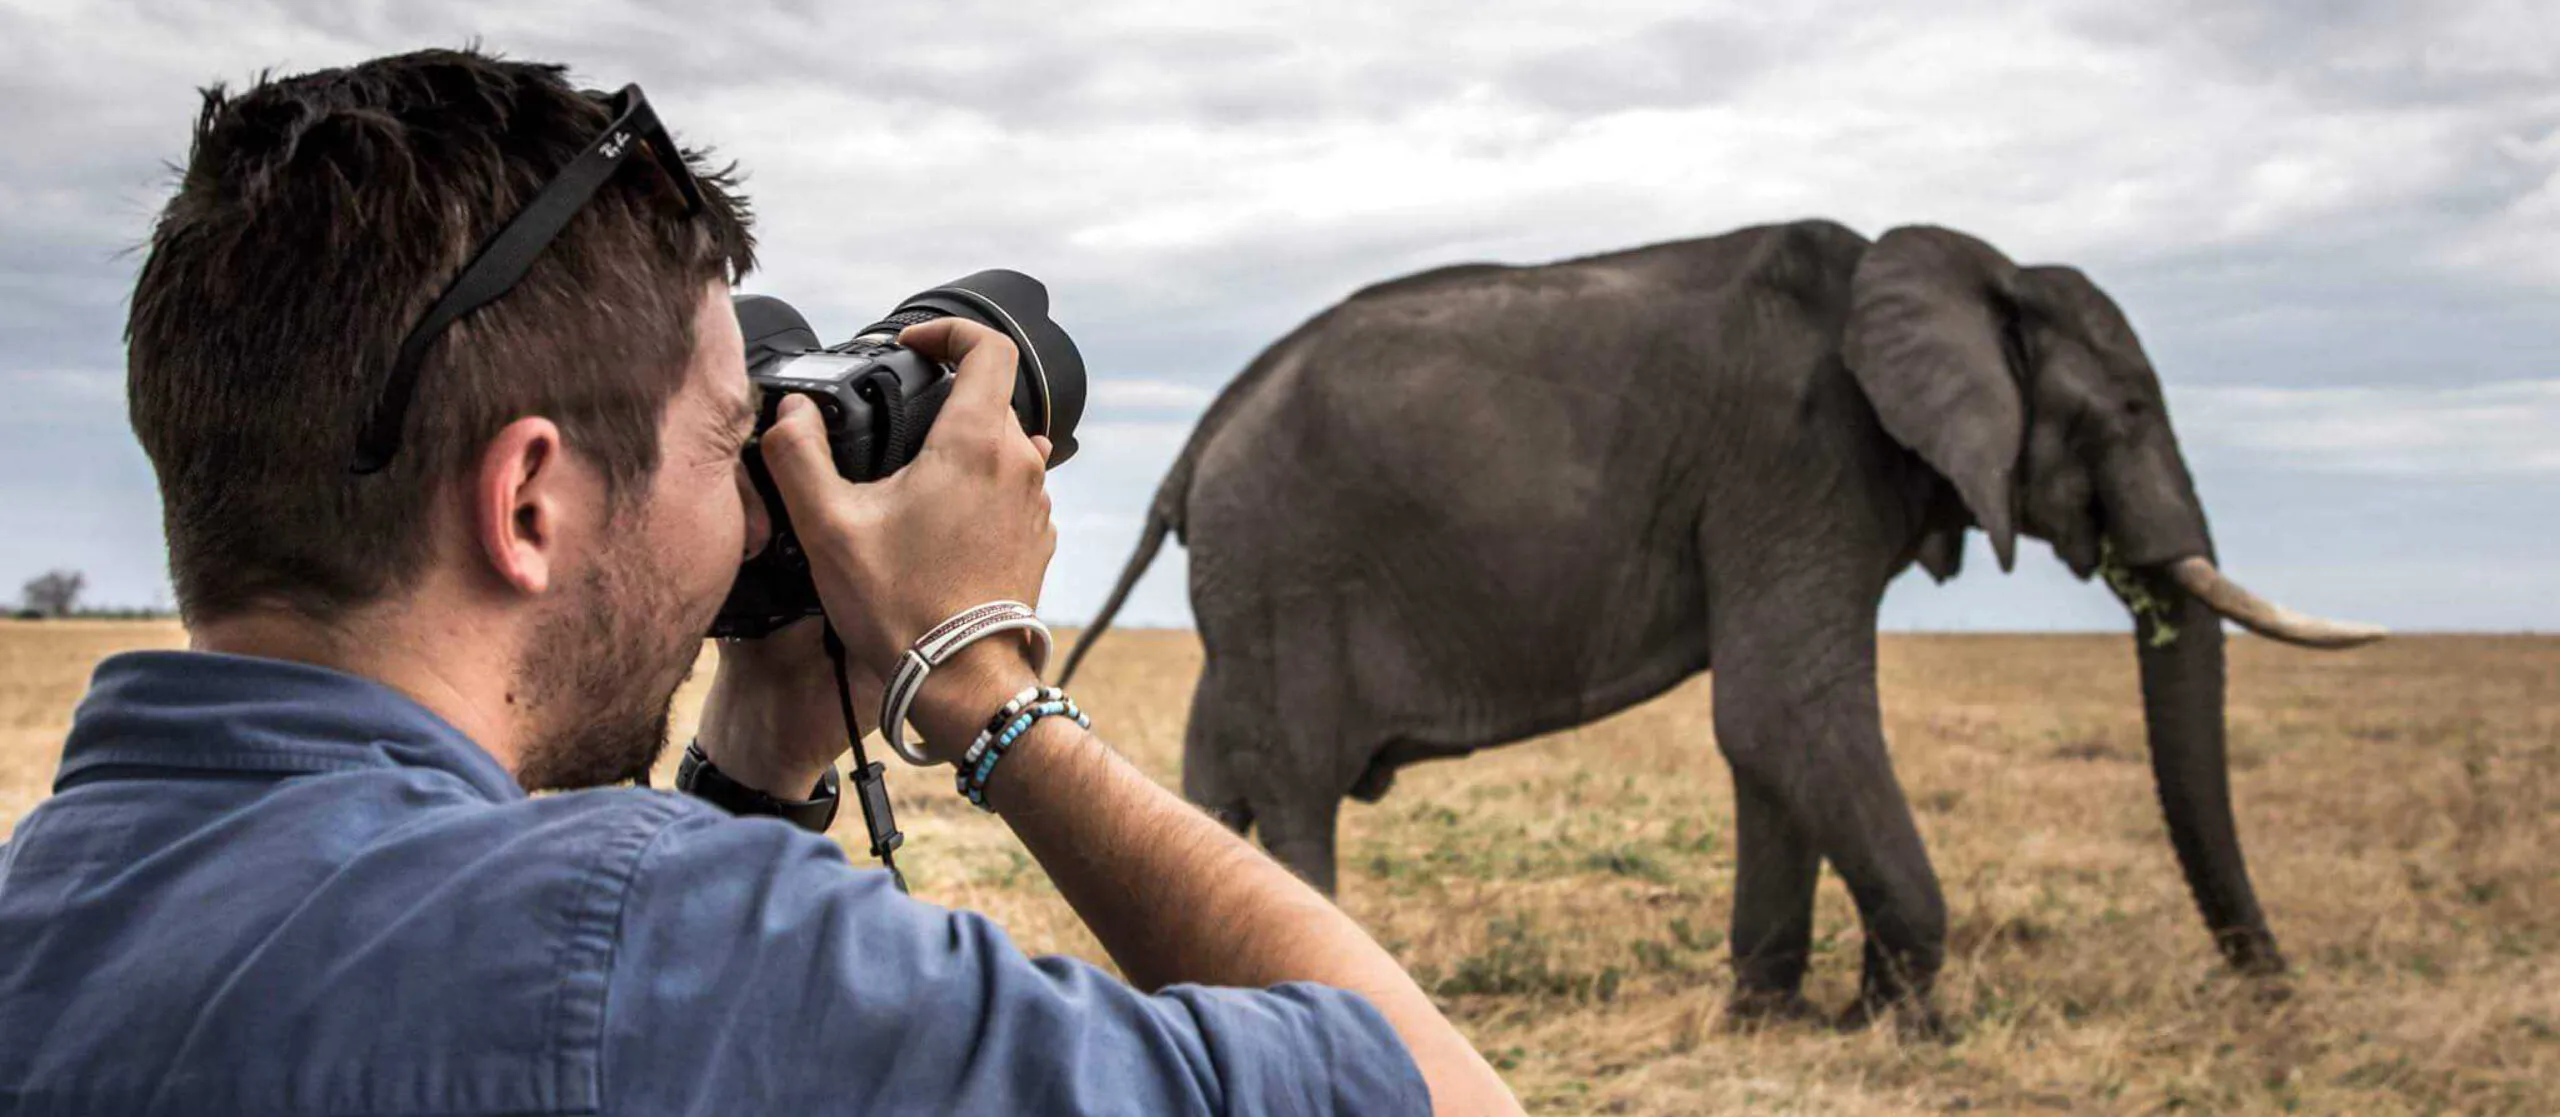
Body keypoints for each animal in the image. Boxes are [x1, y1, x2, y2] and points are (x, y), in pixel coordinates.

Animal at [1054, 222, 2375, 1035]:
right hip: (1293, 567)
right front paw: (1908, 1029)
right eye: (2131, 409)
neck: (1958, 265)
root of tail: (1196, 441)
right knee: (1299, 789)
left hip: (1249, 588)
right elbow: (1785, 707)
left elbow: (1766, 734)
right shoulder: (1803, 453)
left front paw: (1780, 1019)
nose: (2275, 990)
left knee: (1213, 779)